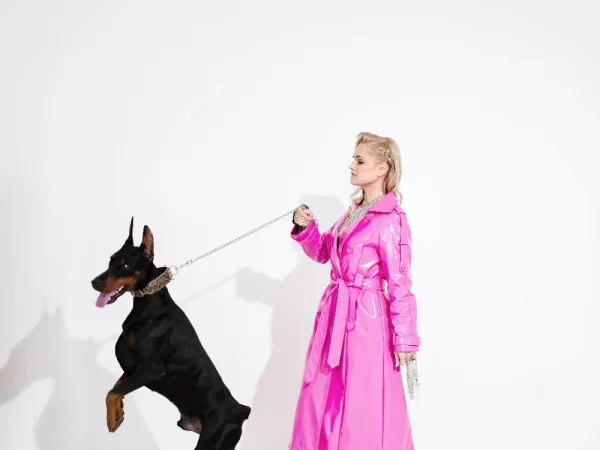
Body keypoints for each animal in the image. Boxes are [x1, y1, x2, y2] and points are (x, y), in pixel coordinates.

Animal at [91, 218, 251, 450]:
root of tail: (240, 411)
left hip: (213, 437)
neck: (149, 302)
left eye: (126, 265)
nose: (94, 283)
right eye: (110, 261)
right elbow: (117, 387)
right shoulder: (133, 368)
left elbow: (111, 393)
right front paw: (118, 413)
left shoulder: (152, 368)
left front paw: (112, 419)